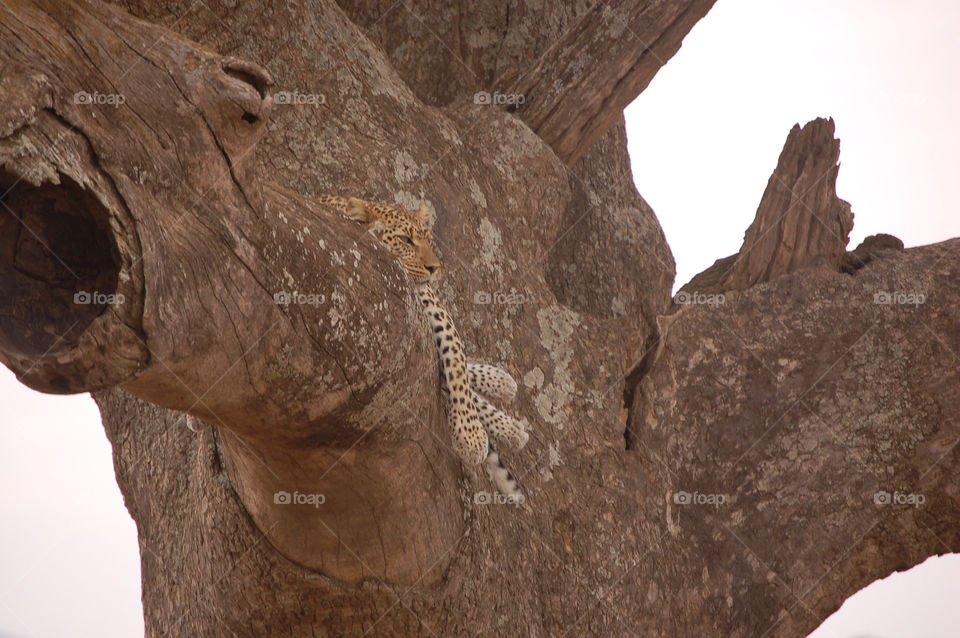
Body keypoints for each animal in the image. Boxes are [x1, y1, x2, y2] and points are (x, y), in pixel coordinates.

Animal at [321, 195, 528, 499]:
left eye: (429, 240)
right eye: (406, 240)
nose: (435, 268)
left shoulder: (432, 303)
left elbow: (456, 361)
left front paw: (470, 435)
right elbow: (454, 368)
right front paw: (473, 436)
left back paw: (505, 400)